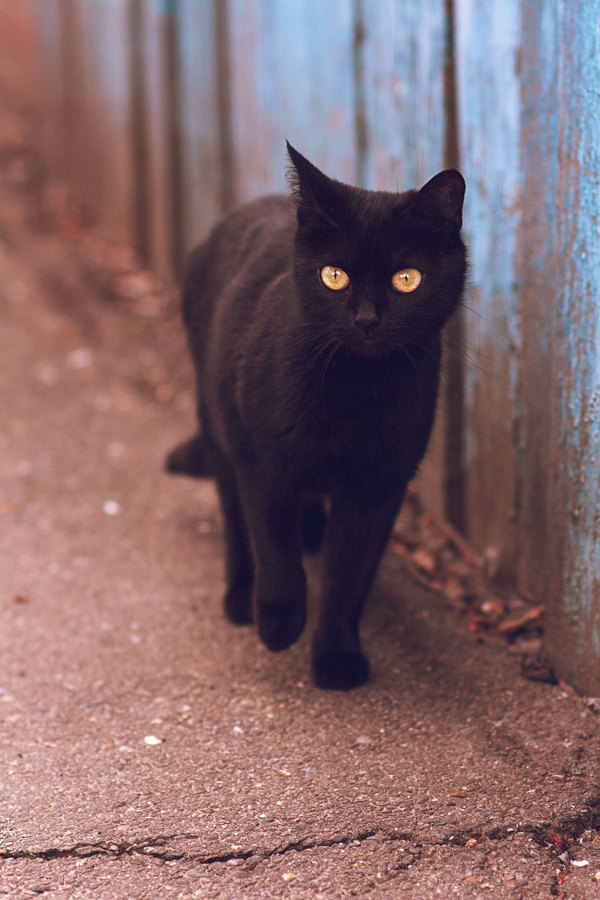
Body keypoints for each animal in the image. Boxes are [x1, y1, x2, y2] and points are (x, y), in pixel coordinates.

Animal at [166, 144, 466, 688]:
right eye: (334, 276)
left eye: (406, 280)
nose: (366, 319)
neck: (356, 390)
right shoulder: (261, 457)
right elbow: (273, 545)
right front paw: (279, 623)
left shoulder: (380, 483)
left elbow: (349, 575)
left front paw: (337, 657)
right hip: (218, 421)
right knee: (236, 520)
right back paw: (241, 598)